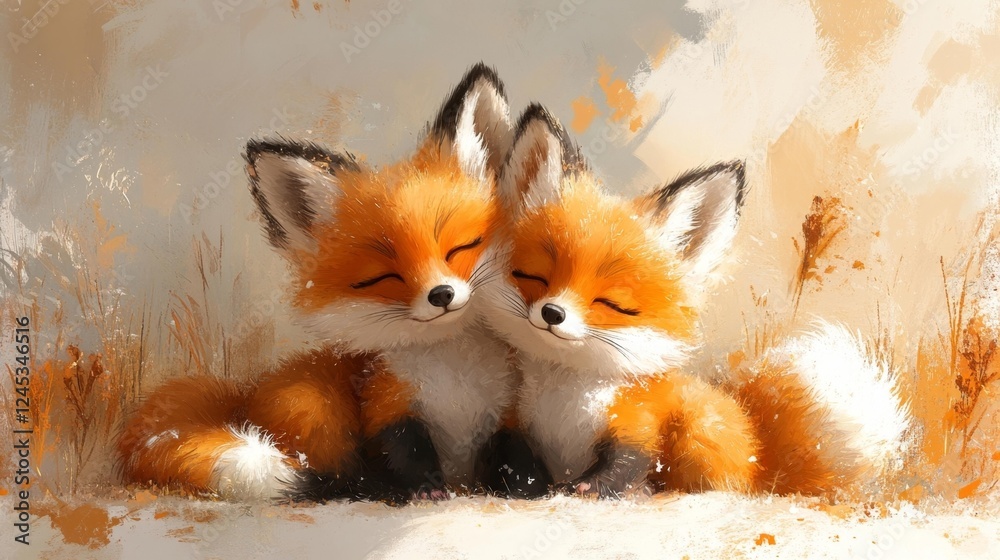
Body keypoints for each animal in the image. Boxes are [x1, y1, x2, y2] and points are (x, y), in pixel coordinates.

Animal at [118, 63, 550, 502]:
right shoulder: (387, 409)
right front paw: (426, 492)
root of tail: (242, 397)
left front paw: (529, 488)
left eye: (463, 248)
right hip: (312, 406)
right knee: (327, 473)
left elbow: (514, 456)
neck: (455, 379)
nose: (442, 294)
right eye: (382, 277)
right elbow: (406, 455)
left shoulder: (506, 412)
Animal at [482, 104, 911, 498]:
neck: (565, 397)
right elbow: (512, 457)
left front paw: (585, 489)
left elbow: (626, 464)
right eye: (535, 277)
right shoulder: (517, 420)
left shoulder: (638, 421)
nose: (552, 313)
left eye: (613, 303)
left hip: (696, 426)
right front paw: (525, 487)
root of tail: (762, 459)